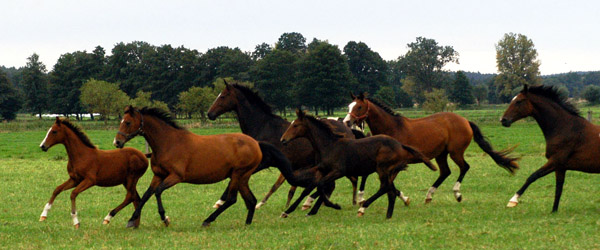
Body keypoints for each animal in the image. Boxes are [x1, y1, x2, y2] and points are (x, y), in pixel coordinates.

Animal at [113, 105, 292, 227]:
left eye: (127, 122)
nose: (117, 142)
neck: (168, 143)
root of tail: (256, 143)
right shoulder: (158, 175)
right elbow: (146, 195)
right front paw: (131, 220)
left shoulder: (175, 177)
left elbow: (157, 192)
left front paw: (164, 218)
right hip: (243, 177)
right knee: (251, 200)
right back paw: (247, 223)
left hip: (237, 175)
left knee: (232, 199)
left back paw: (208, 220)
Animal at [206, 82, 366, 209]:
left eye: (222, 96)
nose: (209, 114)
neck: (263, 126)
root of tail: (348, 128)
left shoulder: (261, 163)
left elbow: (234, 180)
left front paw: (219, 202)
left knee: (344, 181)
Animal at [278, 110, 438, 218]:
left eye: (296, 125)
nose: (283, 139)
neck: (329, 145)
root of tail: (400, 145)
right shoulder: (322, 171)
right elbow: (314, 187)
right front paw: (291, 210)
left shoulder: (338, 171)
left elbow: (320, 186)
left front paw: (333, 205)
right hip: (388, 171)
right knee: (390, 190)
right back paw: (388, 215)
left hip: (382, 169)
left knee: (385, 187)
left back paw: (363, 208)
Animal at [344, 93, 516, 203]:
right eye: (349, 106)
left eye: (359, 107)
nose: (346, 122)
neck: (392, 128)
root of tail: (465, 120)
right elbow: (370, 176)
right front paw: (361, 196)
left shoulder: (396, 165)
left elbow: (389, 183)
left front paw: (404, 198)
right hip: (441, 154)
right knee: (445, 172)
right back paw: (429, 195)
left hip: (455, 152)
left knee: (464, 167)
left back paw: (457, 194)